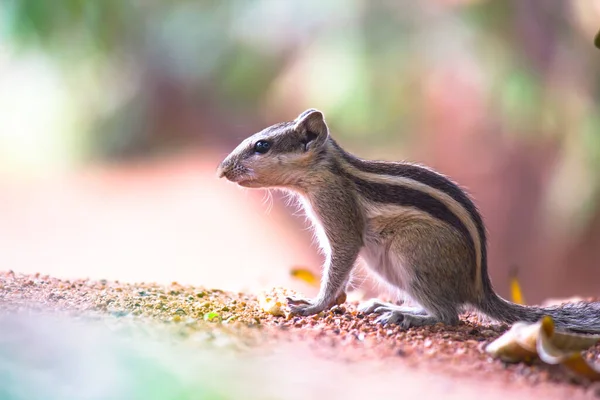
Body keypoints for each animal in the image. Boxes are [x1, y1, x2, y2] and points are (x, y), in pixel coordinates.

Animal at [216, 109, 600, 334]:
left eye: (262, 146)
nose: (221, 170)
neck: (329, 169)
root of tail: (478, 287)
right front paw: (336, 301)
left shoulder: (339, 215)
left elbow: (340, 257)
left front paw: (315, 305)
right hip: (387, 266)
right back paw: (390, 305)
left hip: (411, 252)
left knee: (450, 314)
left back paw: (408, 316)